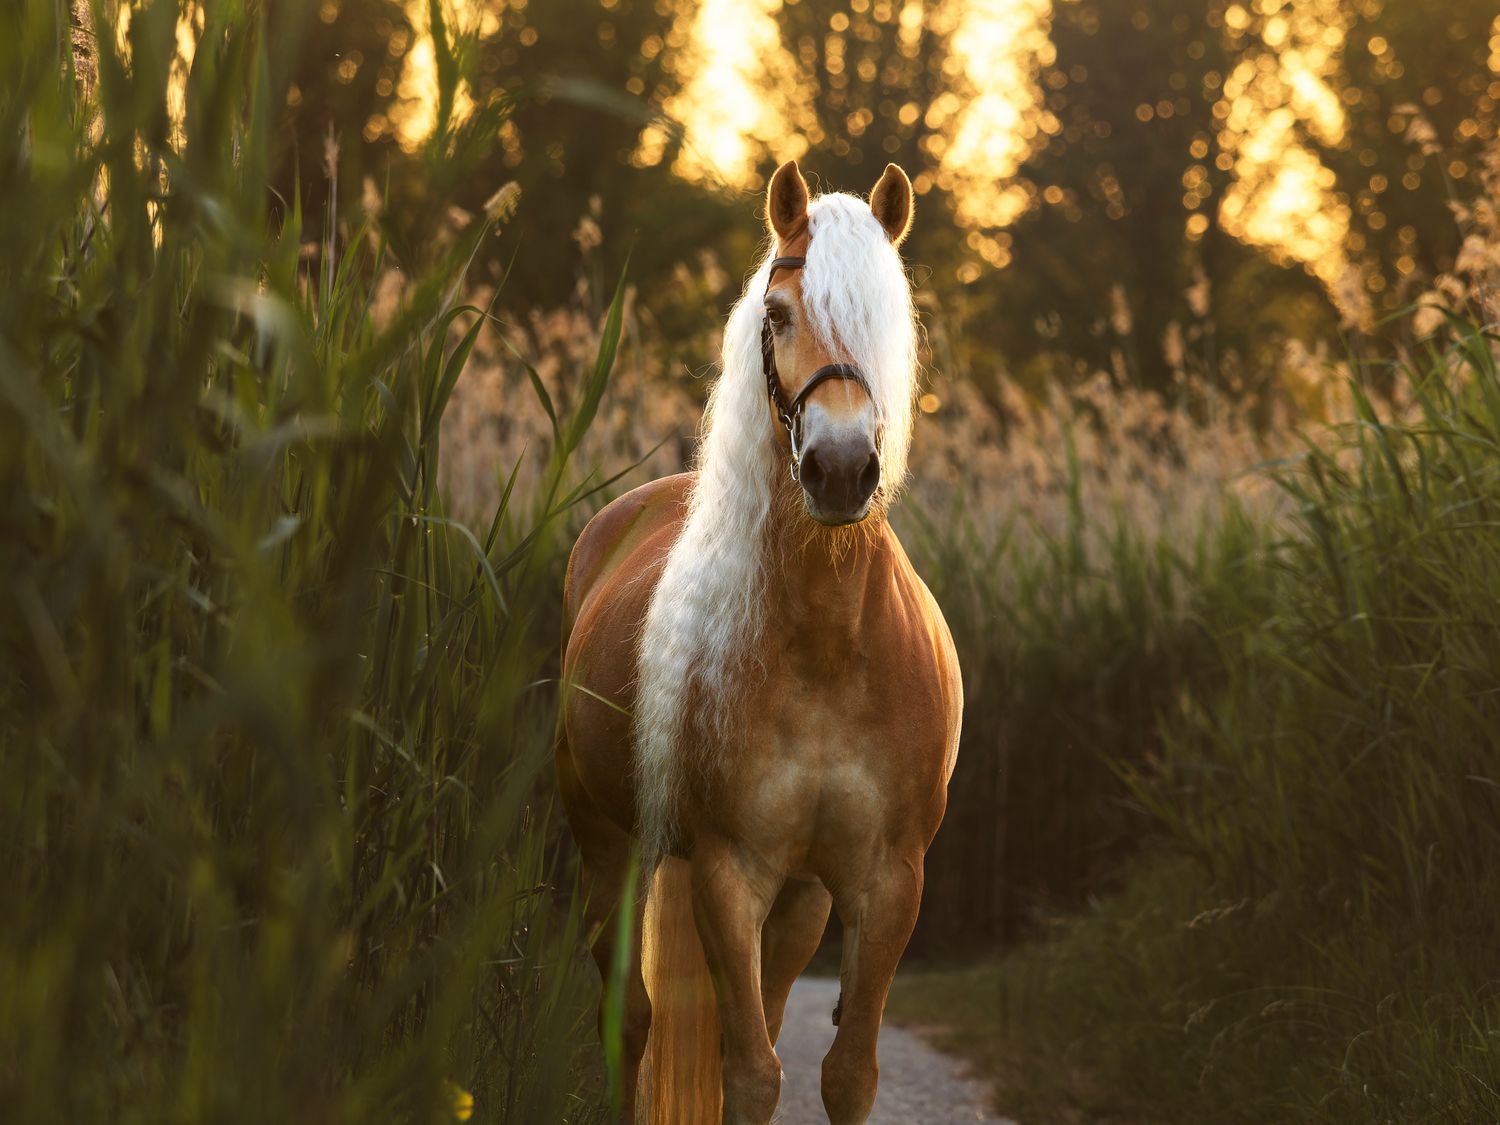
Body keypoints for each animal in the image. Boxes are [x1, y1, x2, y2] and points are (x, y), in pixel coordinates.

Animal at [558, 159, 962, 1124]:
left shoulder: (885, 881)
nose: (841, 469)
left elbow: (845, 1072)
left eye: (887, 315)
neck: (827, 644)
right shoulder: (726, 872)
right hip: (609, 843)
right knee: (631, 1017)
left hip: (802, 898)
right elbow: (746, 1072)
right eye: (777, 314)